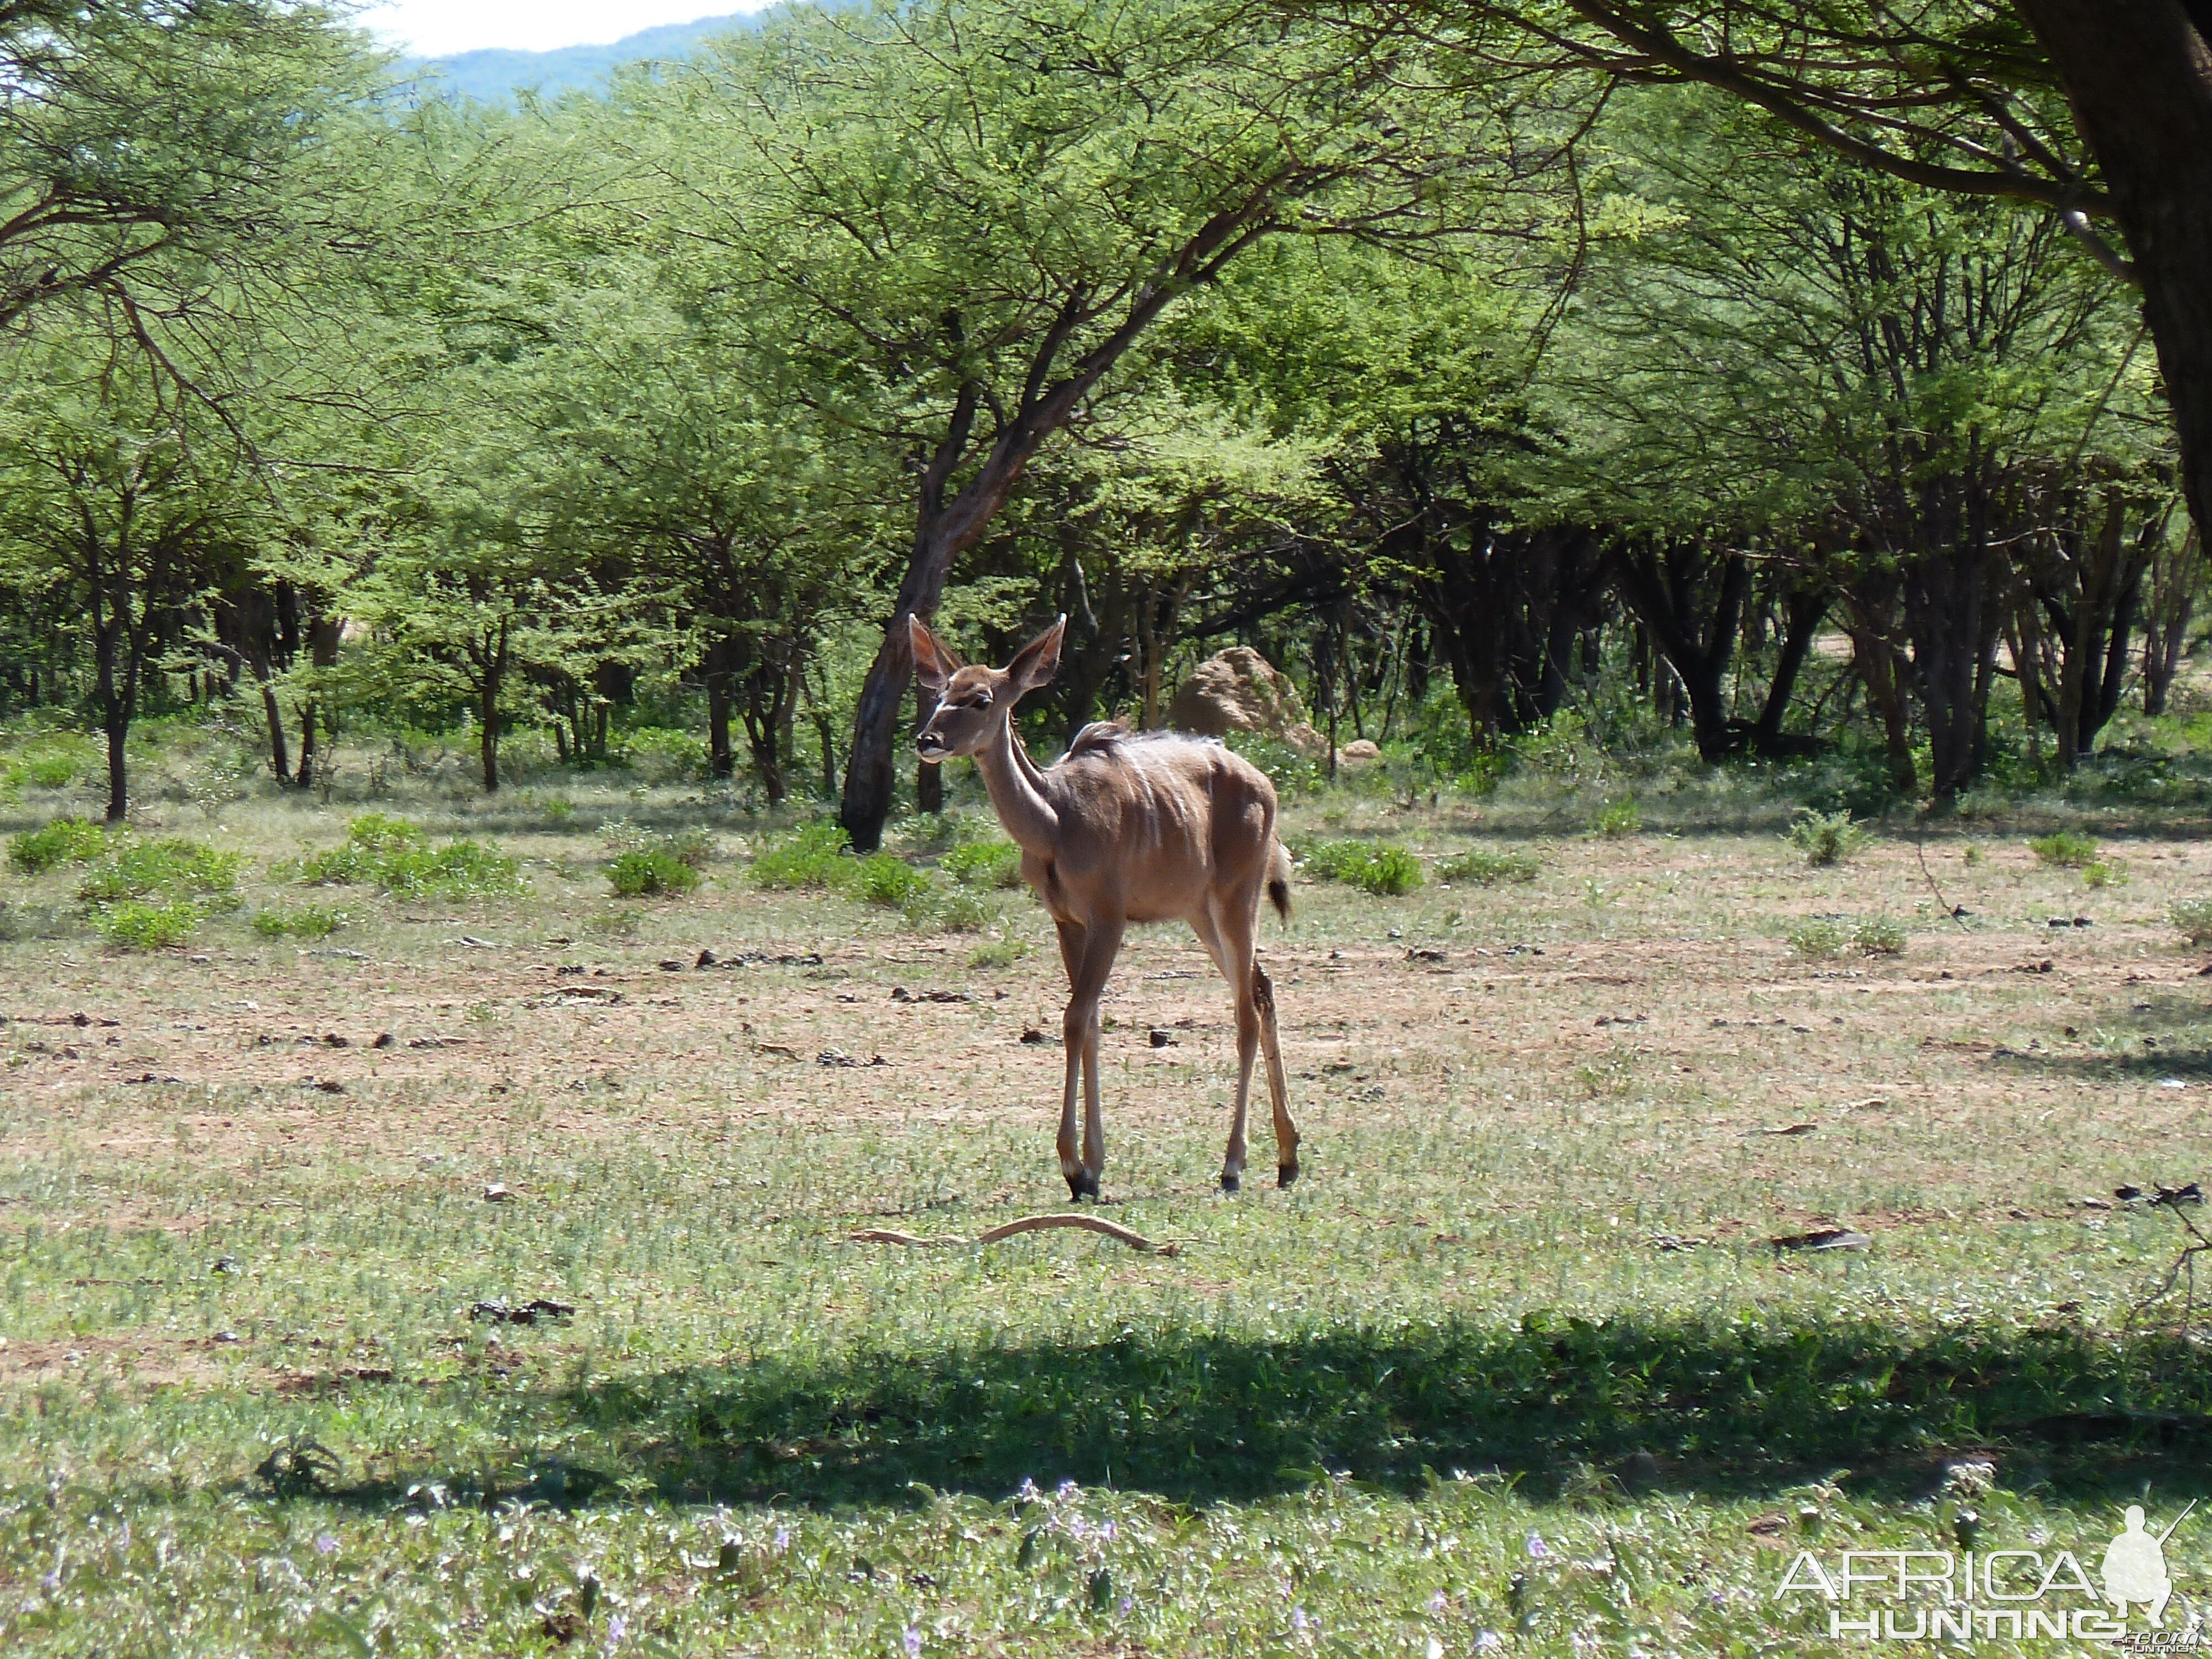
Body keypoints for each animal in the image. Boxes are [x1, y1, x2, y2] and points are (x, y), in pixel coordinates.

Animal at [911, 619, 1292, 1203]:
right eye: (940, 693)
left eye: (981, 699)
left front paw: (1074, 1166)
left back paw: (1233, 1166)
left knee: (1246, 1009)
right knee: (1262, 988)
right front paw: (1092, 1168)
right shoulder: (1068, 922)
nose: (927, 741)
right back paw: (1288, 1158)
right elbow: (1088, 1021)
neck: (1056, 818)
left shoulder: (1109, 918)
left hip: (1236, 897)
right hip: (1200, 912)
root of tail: (1266, 785)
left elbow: (1074, 1019)